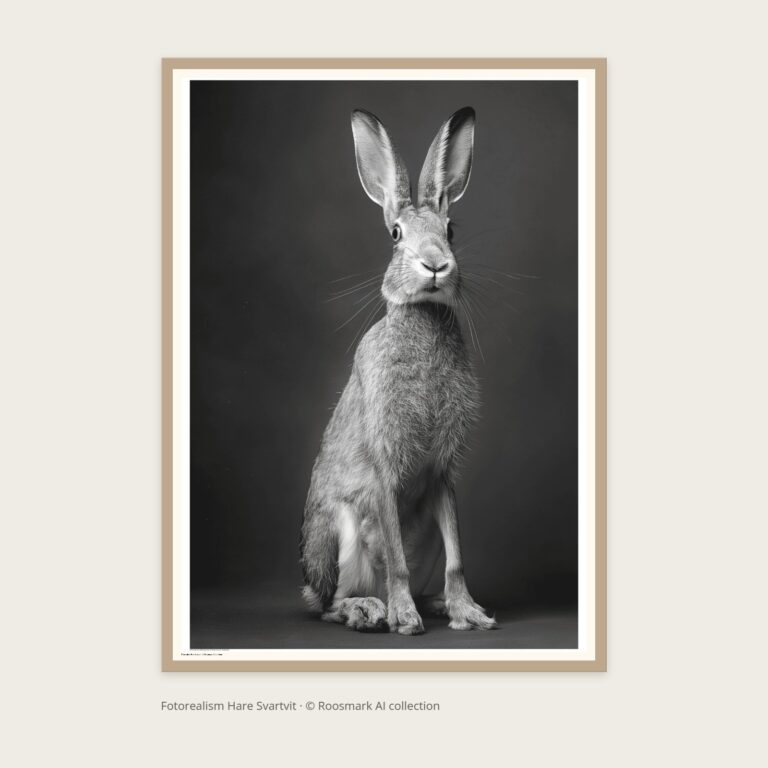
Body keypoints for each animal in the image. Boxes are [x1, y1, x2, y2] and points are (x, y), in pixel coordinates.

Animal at [300, 107, 497, 635]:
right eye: (395, 235)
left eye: (450, 229)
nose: (435, 264)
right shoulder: (384, 467)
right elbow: (396, 560)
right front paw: (405, 619)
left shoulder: (441, 475)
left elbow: (457, 557)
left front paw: (470, 612)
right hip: (338, 536)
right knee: (329, 604)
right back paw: (371, 610)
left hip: (423, 528)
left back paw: (439, 606)